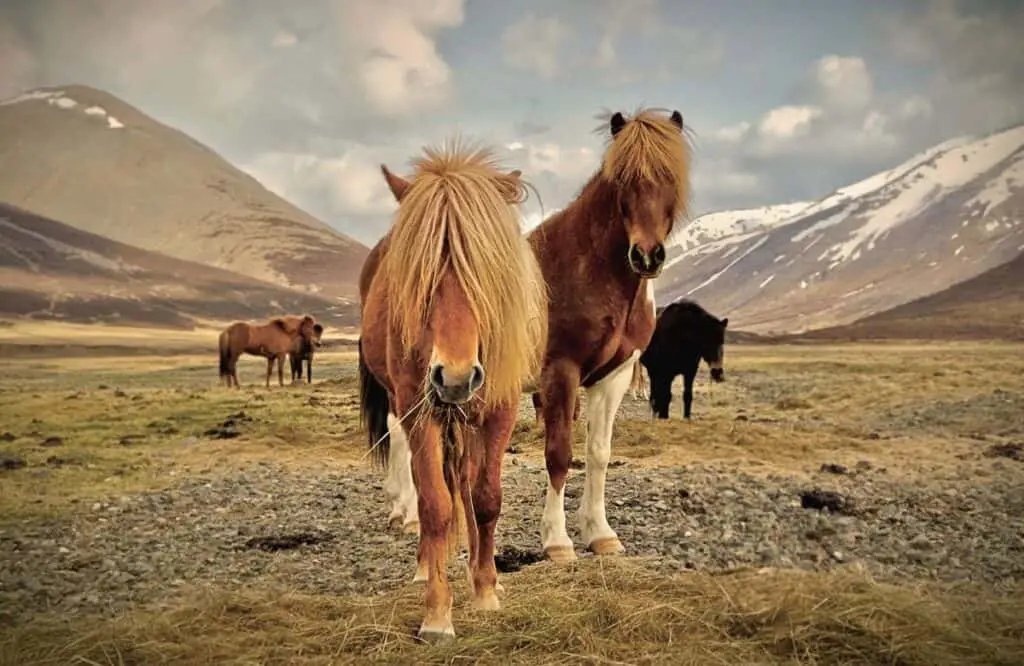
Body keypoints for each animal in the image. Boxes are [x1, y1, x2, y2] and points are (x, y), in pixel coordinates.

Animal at [362, 140, 552, 639]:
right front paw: (437, 613)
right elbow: (435, 504)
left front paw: (485, 588)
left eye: (486, 274)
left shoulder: (501, 407)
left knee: (467, 482)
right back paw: (427, 564)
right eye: (420, 277)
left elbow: (485, 499)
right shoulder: (418, 409)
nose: (455, 378)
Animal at [528, 107, 696, 561]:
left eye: (672, 176)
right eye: (622, 181)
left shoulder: (614, 376)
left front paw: (600, 533)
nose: (647, 256)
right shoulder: (561, 372)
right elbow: (559, 454)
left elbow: (598, 453)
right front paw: (557, 540)